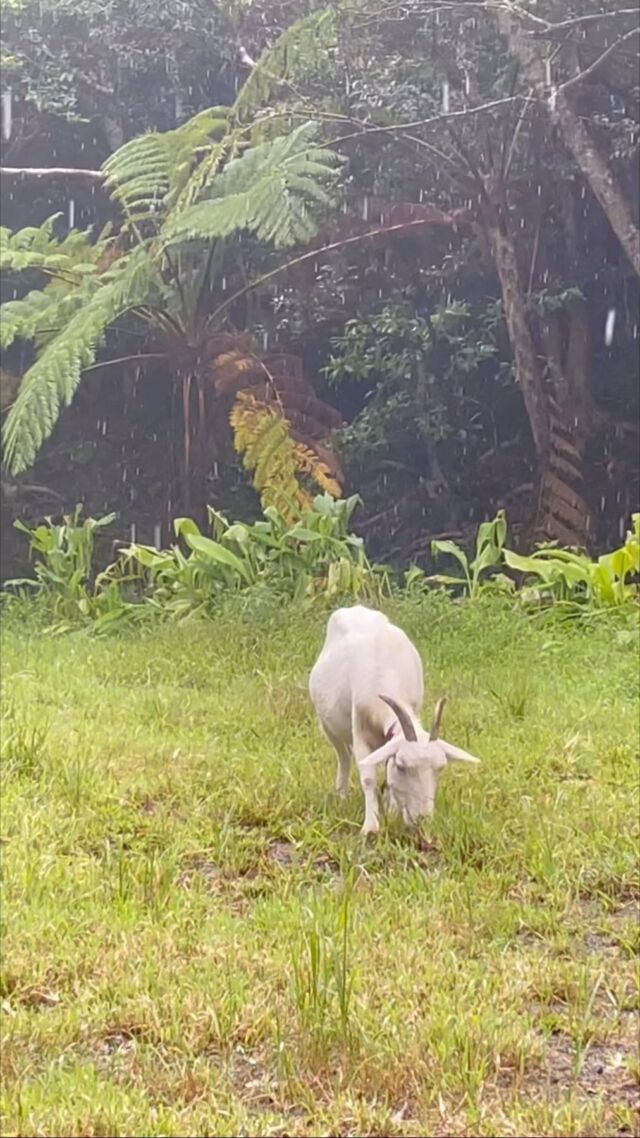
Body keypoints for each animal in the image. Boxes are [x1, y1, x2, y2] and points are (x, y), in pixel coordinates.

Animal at [307, 605, 476, 837]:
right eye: (402, 767)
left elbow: (387, 772)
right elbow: (368, 778)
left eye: (440, 768)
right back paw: (341, 795)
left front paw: (392, 809)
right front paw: (370, 826)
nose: (422, 819)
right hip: (328, 727)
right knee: (343, 757)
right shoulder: (360, 729)